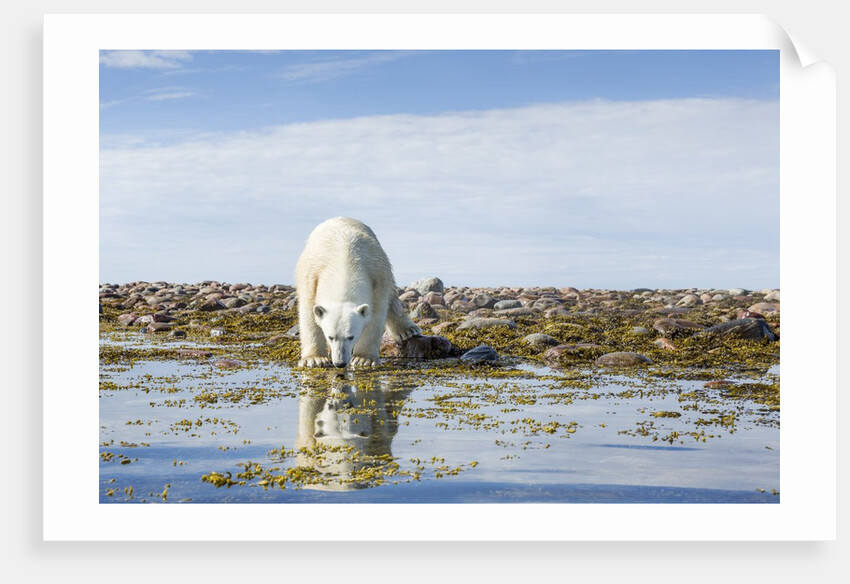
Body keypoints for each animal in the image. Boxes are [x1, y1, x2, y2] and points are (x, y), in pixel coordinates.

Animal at [295, 217, 421, 368]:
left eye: (351, 336)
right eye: (330, 336)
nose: (340, 363)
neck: (344, 260)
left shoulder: (377, 275)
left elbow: (376, 316)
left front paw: (364, 359)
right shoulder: (311, 276)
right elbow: (308, 316)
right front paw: (314, 359)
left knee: (392, 298)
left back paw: (408, 330)